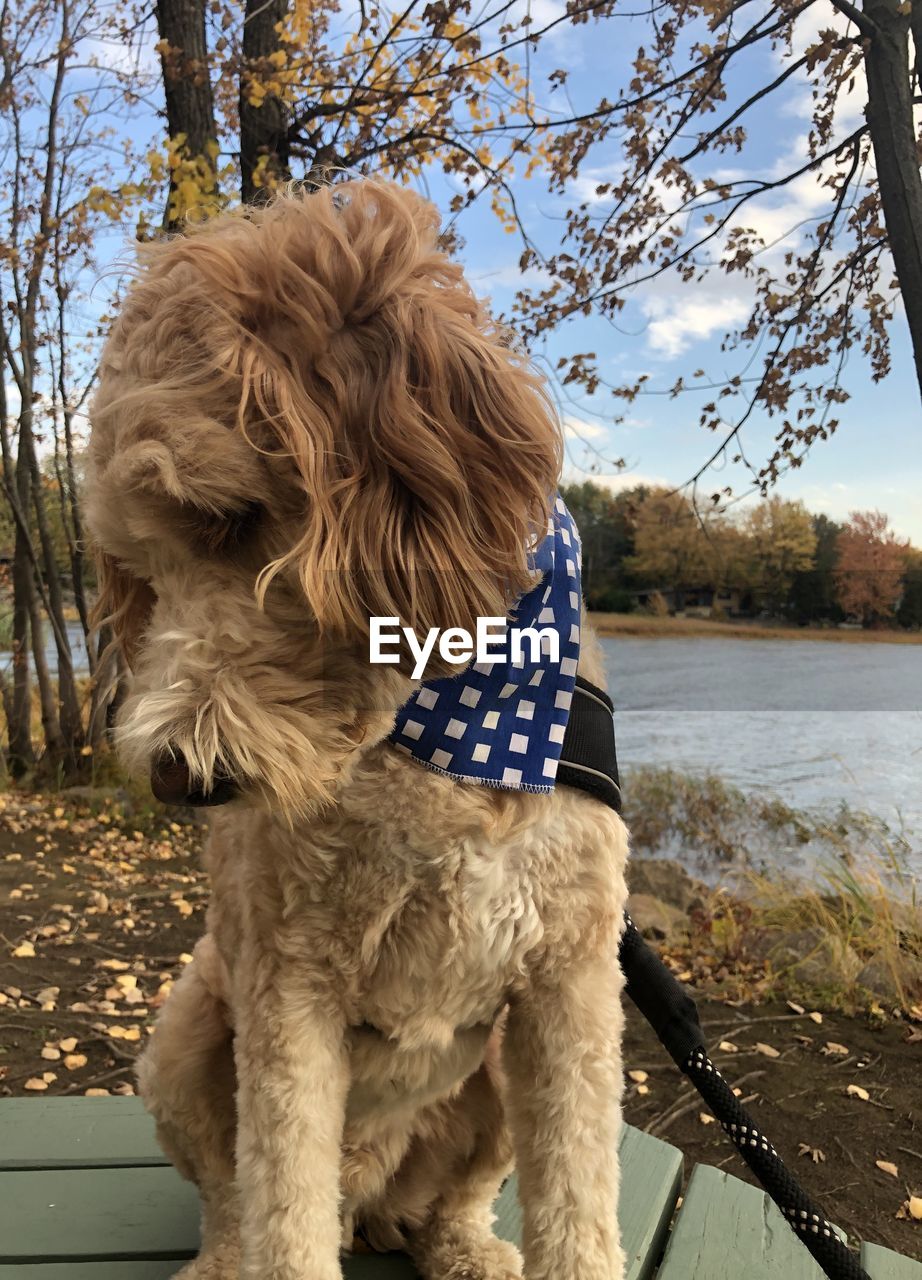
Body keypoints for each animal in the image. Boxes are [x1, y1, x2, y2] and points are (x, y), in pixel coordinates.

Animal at [84, 180, 627, 1280]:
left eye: (230, 517)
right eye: (142, 571)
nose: (177, 776)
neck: (447, 727)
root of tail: (371, 1183)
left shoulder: (571, 985)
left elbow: (580, 1208)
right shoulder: (287, 982)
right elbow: (280, 1206)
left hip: (491, 1074)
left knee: (451, 1195)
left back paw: (462, 1247)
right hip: (185, 1032)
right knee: (238, 1198)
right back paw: (225, 1259)